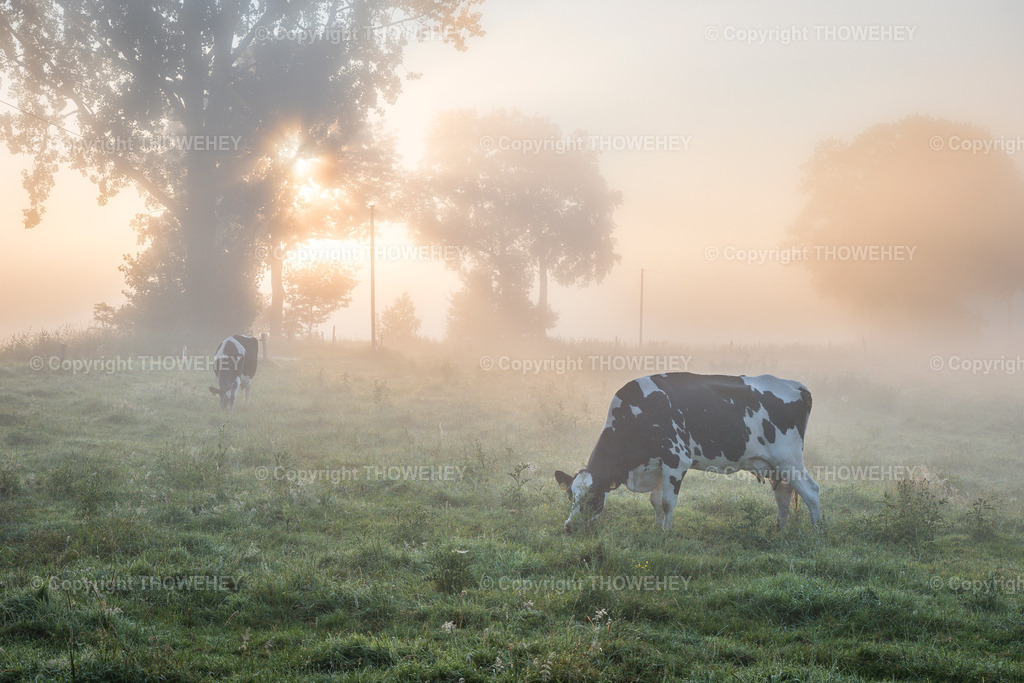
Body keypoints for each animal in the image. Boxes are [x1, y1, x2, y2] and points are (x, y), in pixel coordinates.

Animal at [554, 373, 820, 533]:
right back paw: (779, 531)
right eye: (569, 495)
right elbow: (655, 501)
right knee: (784, 495)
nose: (570, 526)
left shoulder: (676, 461)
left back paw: (817, 532)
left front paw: (665, 533)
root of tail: (797, 385)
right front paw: (656, 529)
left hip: (789, 459)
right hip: (775, 465)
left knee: (811, 491)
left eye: (594, 497)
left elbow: (667, 502)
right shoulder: (657, 466)